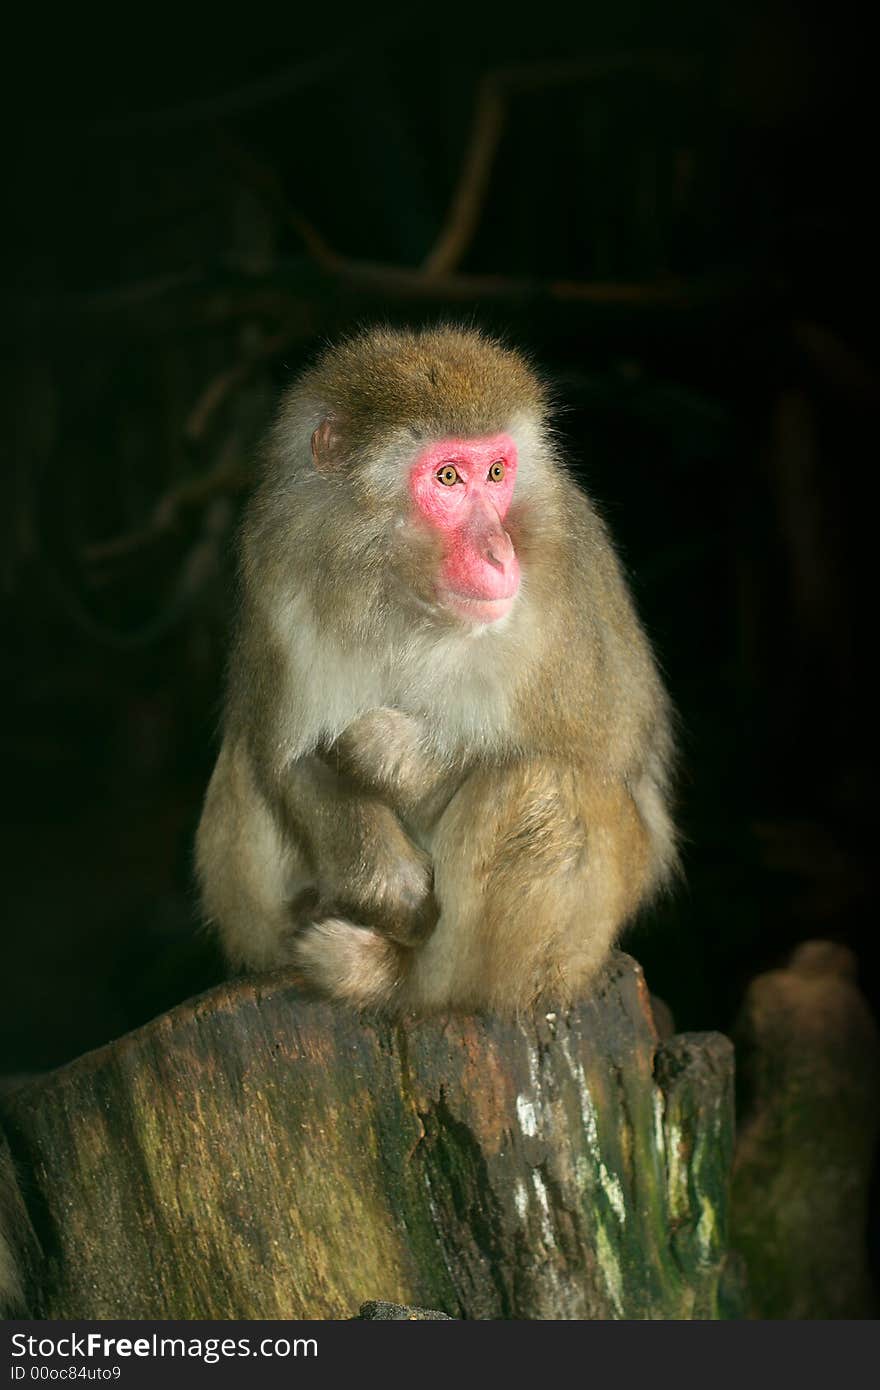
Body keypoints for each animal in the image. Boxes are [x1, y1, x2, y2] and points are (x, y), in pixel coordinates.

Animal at [196, 321, 675, 1011]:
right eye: (448, 478)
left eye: (497, 473)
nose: (499, 552)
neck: (401, 592)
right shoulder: (276, 565)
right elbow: (279, 753)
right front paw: (390, 884)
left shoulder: (569, 572)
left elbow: (610, 744)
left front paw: (383, 749)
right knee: (240, 761)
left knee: (542, 783)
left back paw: (396, 979)